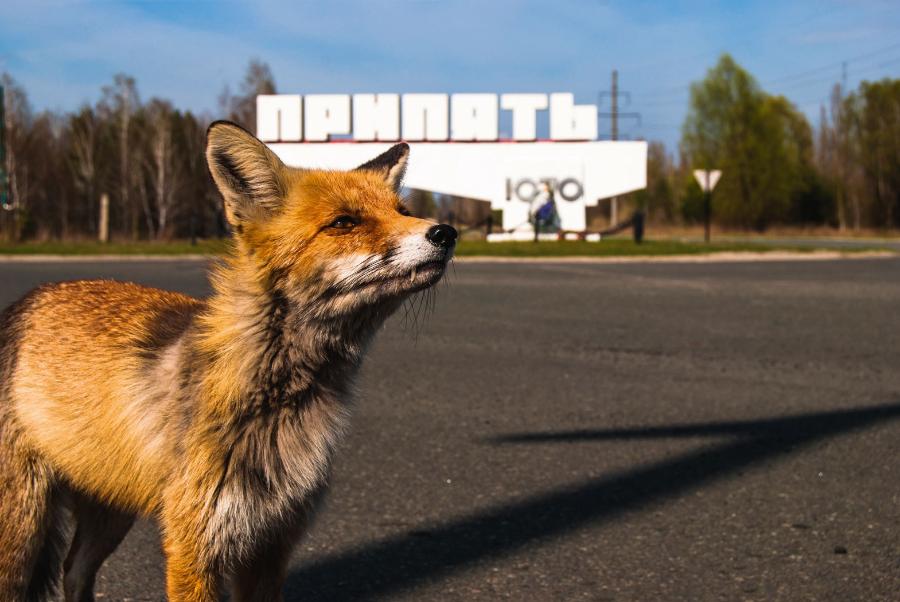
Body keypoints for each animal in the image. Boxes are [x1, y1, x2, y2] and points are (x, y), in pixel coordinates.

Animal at [0, 119, 458, 596]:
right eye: (344, 222)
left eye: (403, 211)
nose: (446, 233)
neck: (279, 406)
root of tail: (28, 300)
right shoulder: (193, 543)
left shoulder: (272, 543)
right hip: (23, 527)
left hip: (110, 511)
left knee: (73, 571)